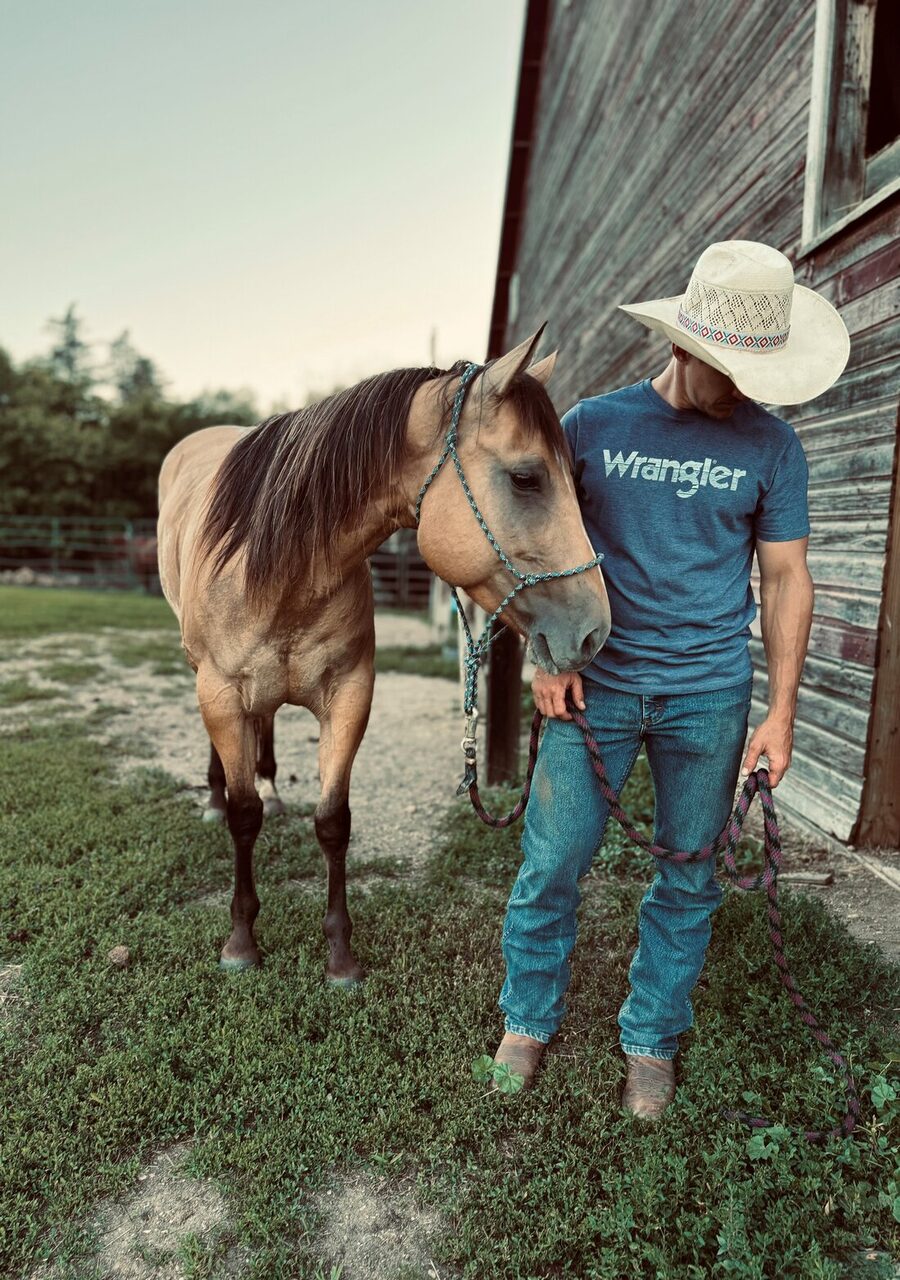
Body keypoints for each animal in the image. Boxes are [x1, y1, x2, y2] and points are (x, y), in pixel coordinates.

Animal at [157, 329, 611, 981]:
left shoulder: (350, 695)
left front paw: (340, 955)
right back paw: (217, 797)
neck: (277, 567)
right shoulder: (220, 693)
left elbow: (333, 822)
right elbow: (245, 819)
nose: (596, 630)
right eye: (527, 479)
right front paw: (241, 942)